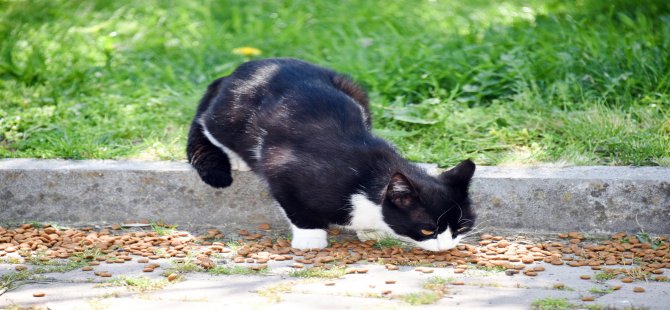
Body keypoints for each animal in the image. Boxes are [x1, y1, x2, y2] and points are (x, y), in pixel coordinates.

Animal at [186, 58, 476, 252]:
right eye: (428, 229)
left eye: (461, 227)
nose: (446, 246)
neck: (369, 176)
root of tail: (235, 71)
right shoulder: (285, 169)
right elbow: (295, 206)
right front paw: (311, 238)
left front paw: (372, 232)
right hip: (230, 117)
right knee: (208, 123)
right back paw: (237, 158)